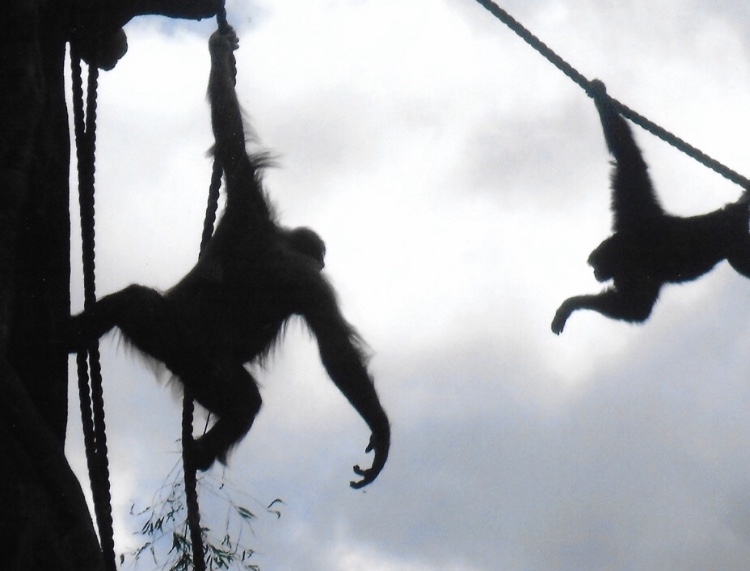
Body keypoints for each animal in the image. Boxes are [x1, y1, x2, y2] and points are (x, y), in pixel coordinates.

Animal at [67, 28, 390, 489]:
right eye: (319, 260)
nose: (322, 260)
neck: (277, 240)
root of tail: (176, 357)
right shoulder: (307, 280)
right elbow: (336, 351)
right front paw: (380, 431)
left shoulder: (244, 201)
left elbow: (227, 128)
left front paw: (218, 50)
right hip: (203, 358)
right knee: (245, 400)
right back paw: (204, 451)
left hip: (166, 333)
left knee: (132, 302)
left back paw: (71, 334)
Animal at [551, 80, 750, 335]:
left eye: (596, 266)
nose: (595, 273)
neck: (628, 244)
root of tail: (729, 212)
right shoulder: (633, 213)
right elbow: (628, 159)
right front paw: (599, 94)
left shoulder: (637, 266)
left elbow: (635, 309)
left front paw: (570, 305)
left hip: (734, 241)